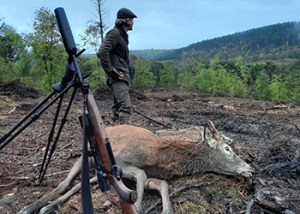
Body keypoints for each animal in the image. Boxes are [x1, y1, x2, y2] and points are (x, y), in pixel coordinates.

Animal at [18, 121, 253, 213]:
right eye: (227, 149)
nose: (250, 169)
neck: (161, 156)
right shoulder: (121, 162)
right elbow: (139, 176)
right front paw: (138, 207)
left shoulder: (149, 175)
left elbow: (161, 184)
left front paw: (166, 209)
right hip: (87, 157)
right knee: (65, 183)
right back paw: (32, 207)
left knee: (80, 184)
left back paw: (48, 207)